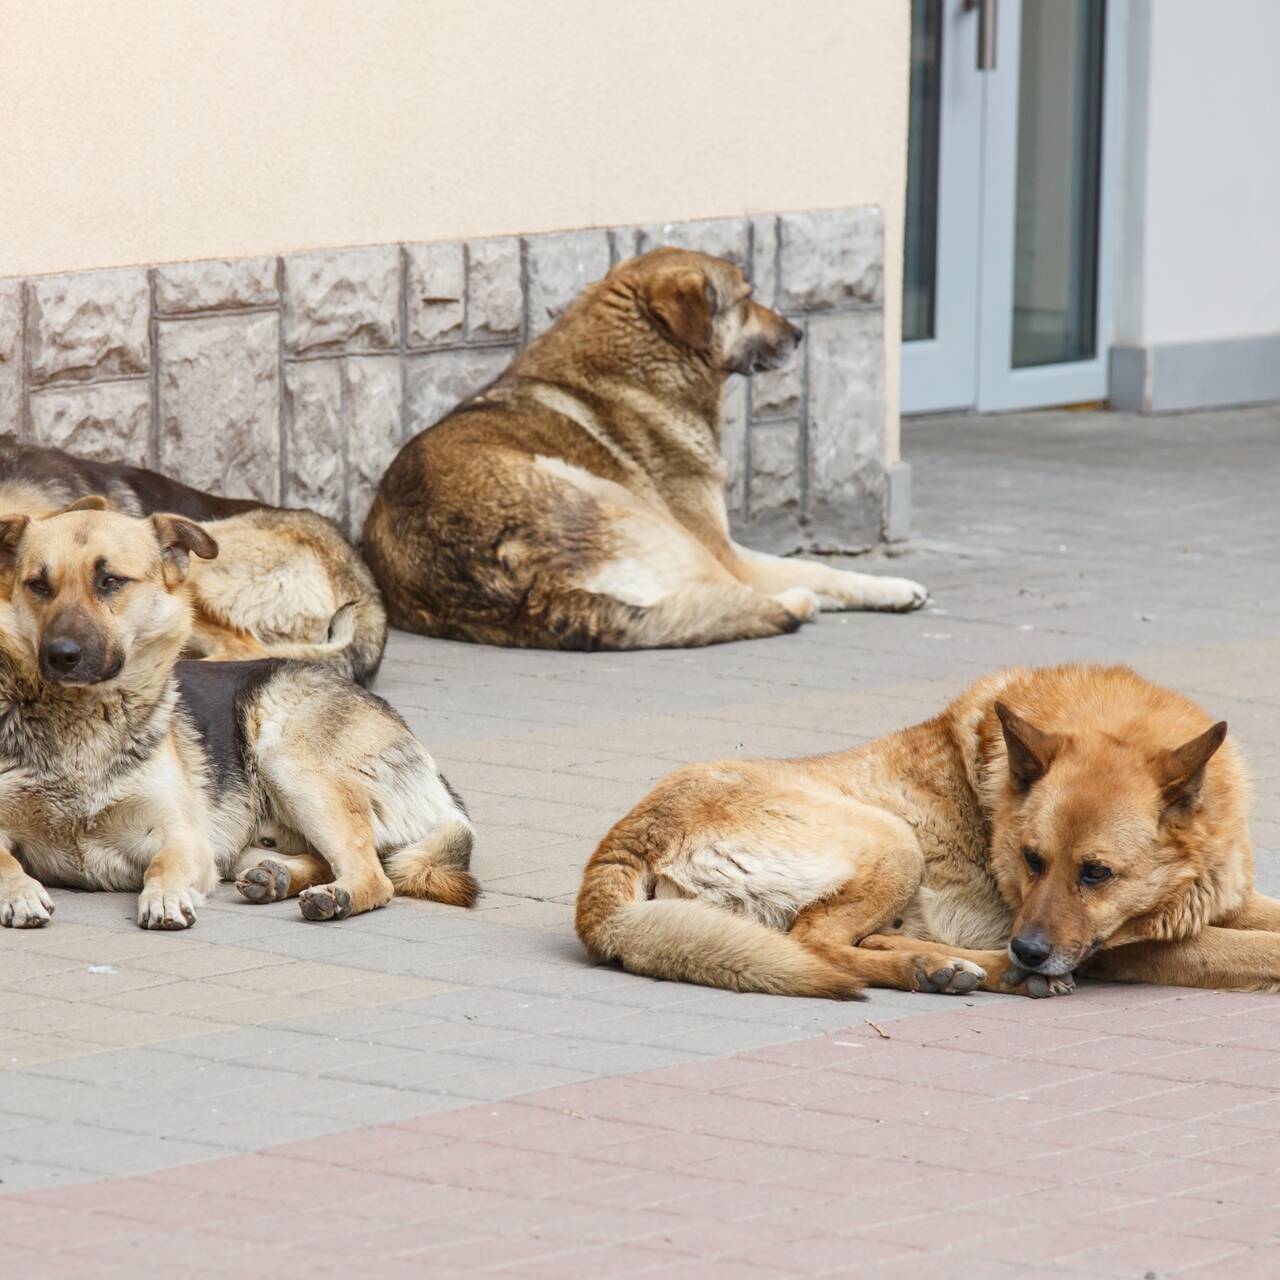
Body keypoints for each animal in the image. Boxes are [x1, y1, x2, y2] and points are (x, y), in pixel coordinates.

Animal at [0, 499, 478, 931]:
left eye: (110, 581)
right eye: (38, 585)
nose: (61, 655)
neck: (82, 727)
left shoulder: (183, 836)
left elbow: (163, 865)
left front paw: (165, 897)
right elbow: (6, 861)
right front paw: (20, 893)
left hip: (291, 763)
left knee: (375, 876)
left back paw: (334, 896)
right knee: (322, 860)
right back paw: (277, 876)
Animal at [366, 245, 926, 655]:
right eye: (746, 298)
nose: (799, 332)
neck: (641, 363)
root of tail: (527, 594)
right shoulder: (723, 548)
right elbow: (820, 568)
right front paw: (891, 587)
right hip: (649, 520)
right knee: (744, 595)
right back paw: (798, 604)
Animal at [583, 665, 1280, 1003]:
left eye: (1096, 873)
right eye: (1031, 860)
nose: (1028, 949)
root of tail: (624, 841)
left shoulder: (1228, 901)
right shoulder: (1129, 948)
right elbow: (1265, 951)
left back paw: (946, 964)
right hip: (895, 842)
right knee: (817, 943)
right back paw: (959, 969)